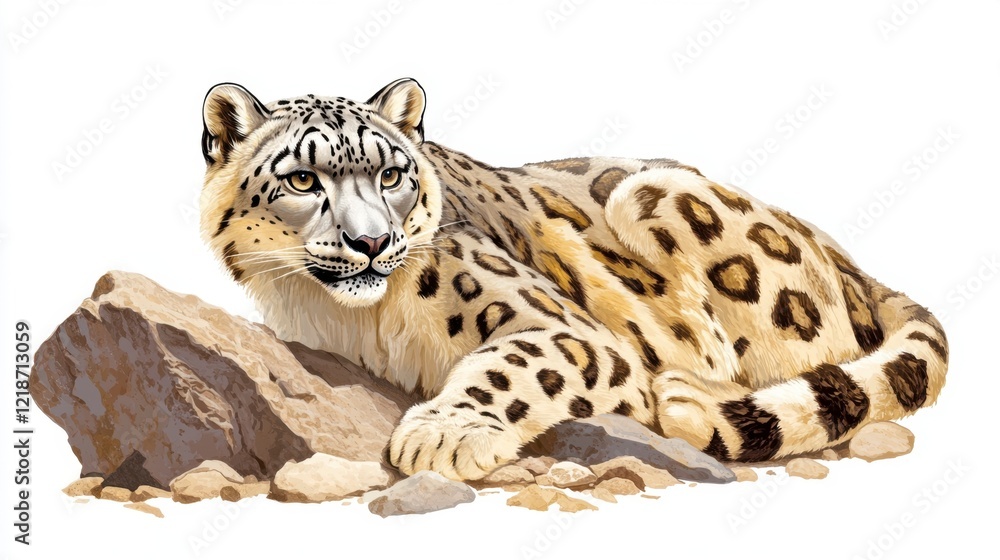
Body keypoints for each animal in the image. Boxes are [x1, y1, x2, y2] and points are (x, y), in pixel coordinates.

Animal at [199, 78, 948, 481]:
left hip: (657, 195)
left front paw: (443, 432)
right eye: (303, 179)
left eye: (390, 174)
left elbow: (511, 364)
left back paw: (683, 395)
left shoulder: (566, 329)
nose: (373, 241)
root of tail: (840, 254)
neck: (338, 313)